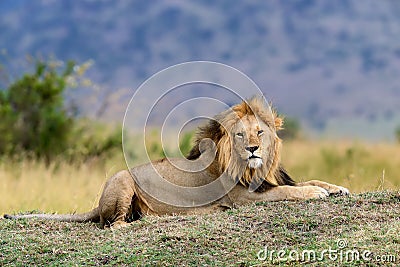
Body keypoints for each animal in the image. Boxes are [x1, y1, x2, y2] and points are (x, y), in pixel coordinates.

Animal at [3, 97, 348, 229]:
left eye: (259, 132)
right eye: (239, 135)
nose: (252, 149)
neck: (254, 168)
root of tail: (97, 203)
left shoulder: (268, 181)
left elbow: (308, 180)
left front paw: (336, 188)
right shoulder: (242, 198)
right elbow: (288, 192)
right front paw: (315, 194)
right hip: (122, 180)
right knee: (112, 224)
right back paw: (141, 221)